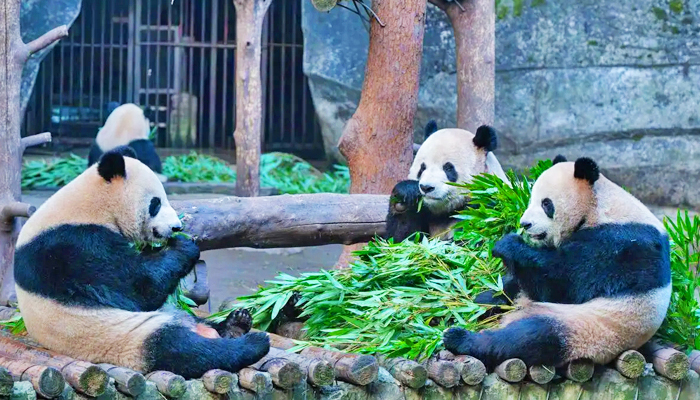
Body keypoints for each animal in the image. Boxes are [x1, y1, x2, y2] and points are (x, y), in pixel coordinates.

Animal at [14, 147, 270, 379]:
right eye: (155, 203)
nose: (177, 227)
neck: (88, 206)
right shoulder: (71, 247)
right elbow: (135, 287)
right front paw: (184, 246)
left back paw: (236, 323)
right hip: (123, 336)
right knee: (181, 349)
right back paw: (252, 342)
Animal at [443, 156, 671, 369]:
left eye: (546, 204)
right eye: (530, 200)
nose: (525, 224)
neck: (599, 206)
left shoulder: (620, 246)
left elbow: (564, 285)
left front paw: (508, 244)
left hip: (588, 329)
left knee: (531, 337)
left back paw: (460, 338)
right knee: (499, 299)